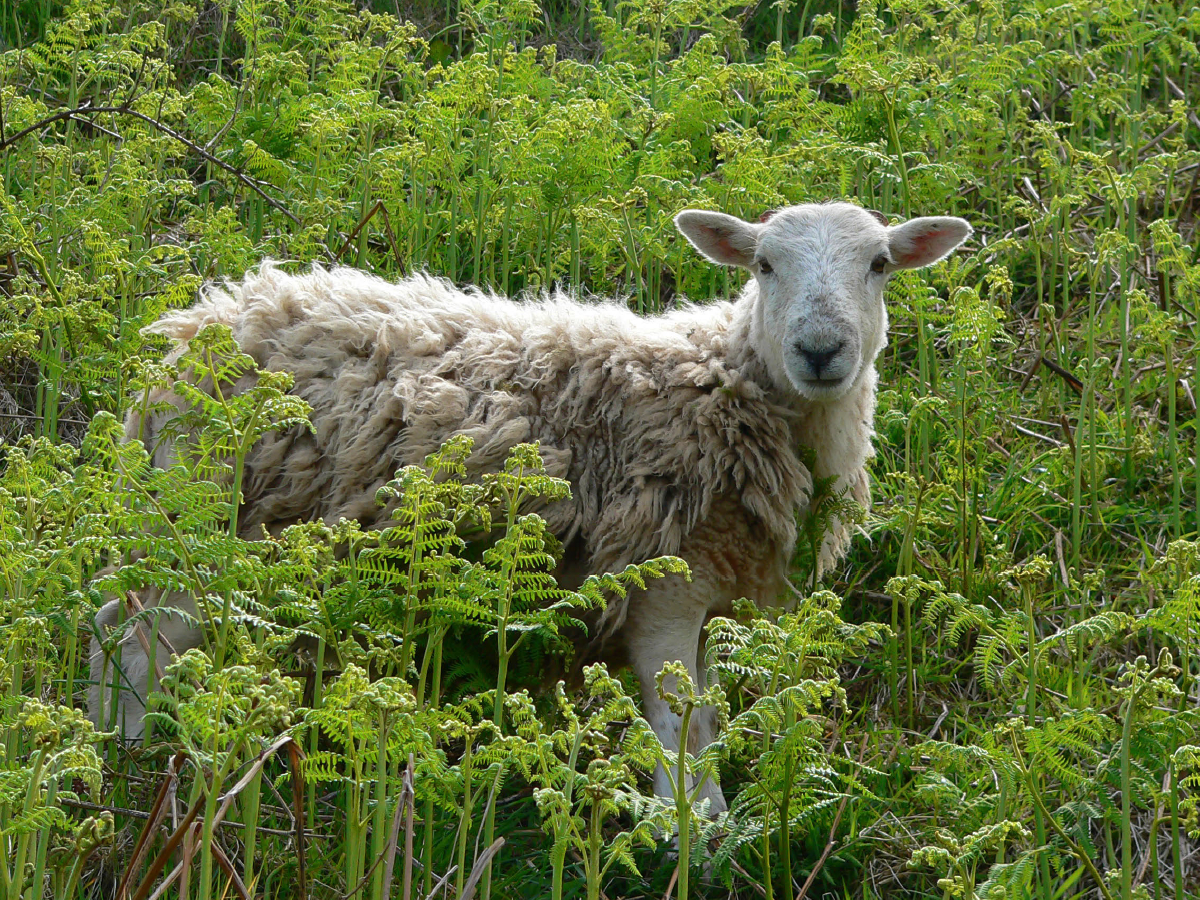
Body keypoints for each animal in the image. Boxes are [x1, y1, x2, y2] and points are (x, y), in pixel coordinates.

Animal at [91, 204, 974, 816]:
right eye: (762, 263)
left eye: (880, 263)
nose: (821, 350)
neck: (725, 386)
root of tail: (183, 332)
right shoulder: (664, 587)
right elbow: (678, 726)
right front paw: (696, 832)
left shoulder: (709, 591)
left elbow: (706, 714)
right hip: (198, 518)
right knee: (140, 640)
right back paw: (140, 757)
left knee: (114, 621)